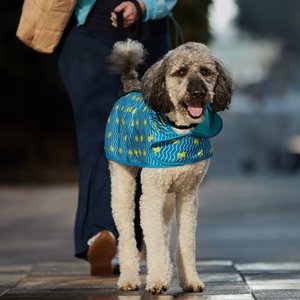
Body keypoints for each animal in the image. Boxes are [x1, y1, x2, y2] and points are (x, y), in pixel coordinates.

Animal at [105, 38, 234, 294]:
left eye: (205, 71)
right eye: (180, 72)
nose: (198, 92)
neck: (180, 131)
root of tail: (131, 88)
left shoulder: (188, 194)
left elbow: (185, 241)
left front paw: (190, 280)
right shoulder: (151, 195)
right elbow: (152, 240)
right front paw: (156, 281)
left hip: (167, 199)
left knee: (163, 232)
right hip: (123, 183)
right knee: (127, 233)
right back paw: (129, 279)